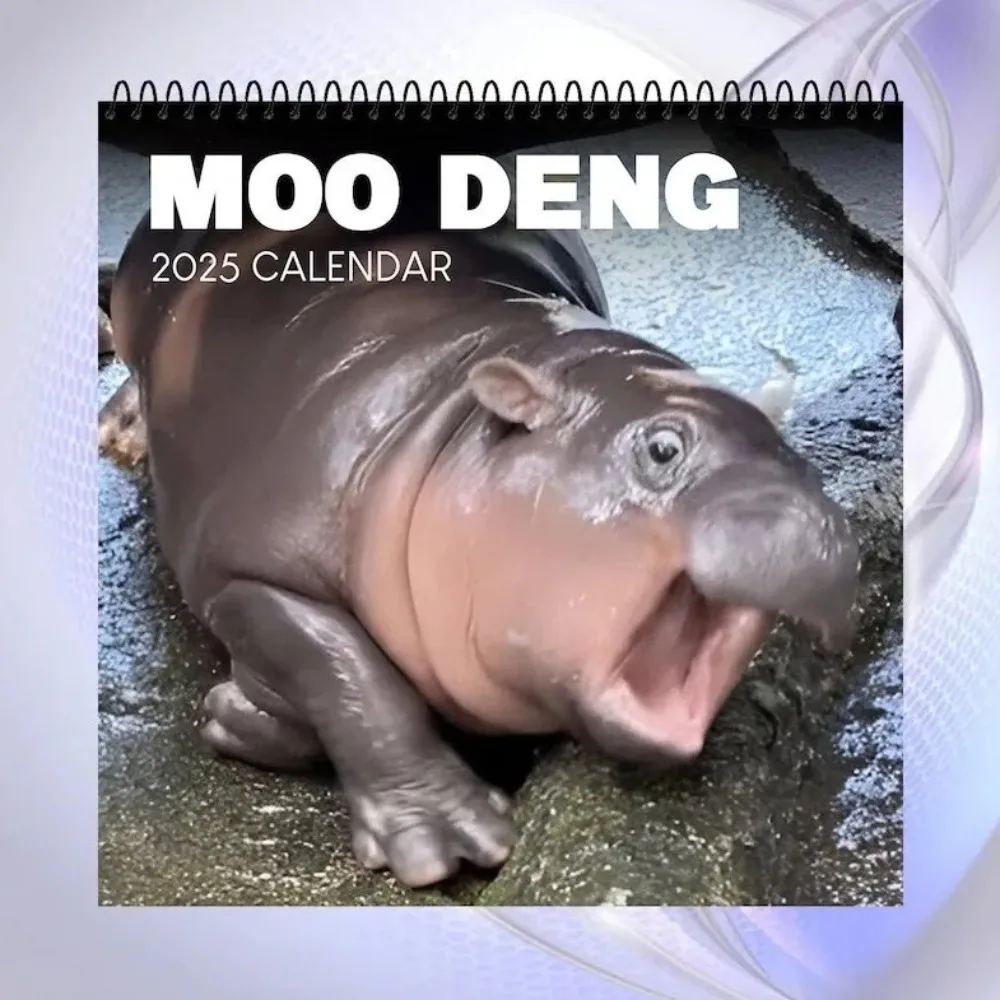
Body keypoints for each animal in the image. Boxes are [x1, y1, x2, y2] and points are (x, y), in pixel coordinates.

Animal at [98, 208, 860, 889]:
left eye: (797, 457)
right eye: (663, 447)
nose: (820, 523)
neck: (455, 416)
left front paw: (240, 717)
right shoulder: (246, 568)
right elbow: (349, 668)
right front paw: (448, 840)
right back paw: (125, 432)